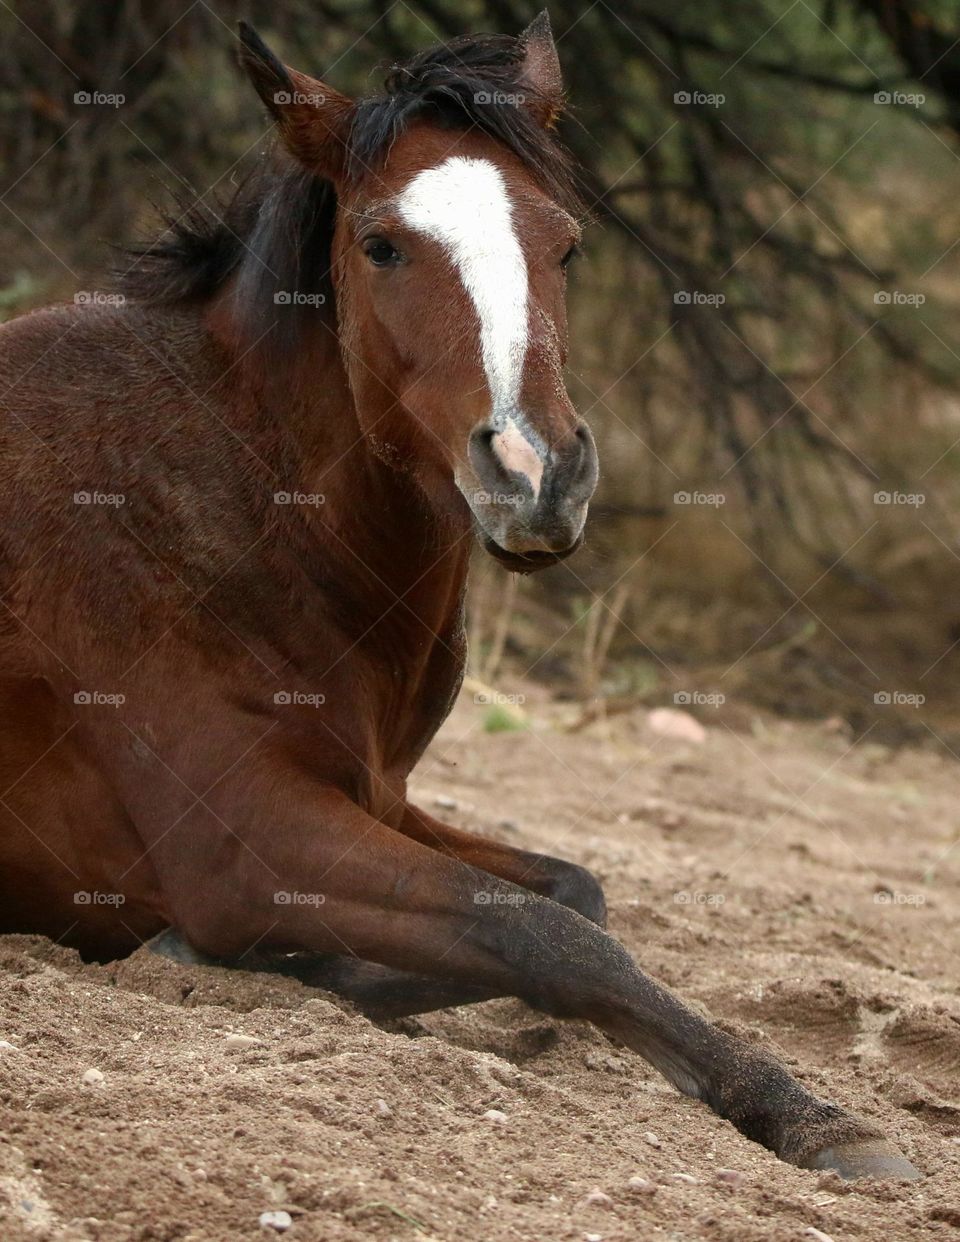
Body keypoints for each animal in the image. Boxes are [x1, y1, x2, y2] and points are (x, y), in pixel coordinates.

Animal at [0, 13, 918, 1181]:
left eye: (566, 245)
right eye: (383, 245)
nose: (537, 474)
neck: (220, 494)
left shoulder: (377, 796)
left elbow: (573, 894)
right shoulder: (246, 841)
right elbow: (542, 933)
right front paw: (812, 1114)